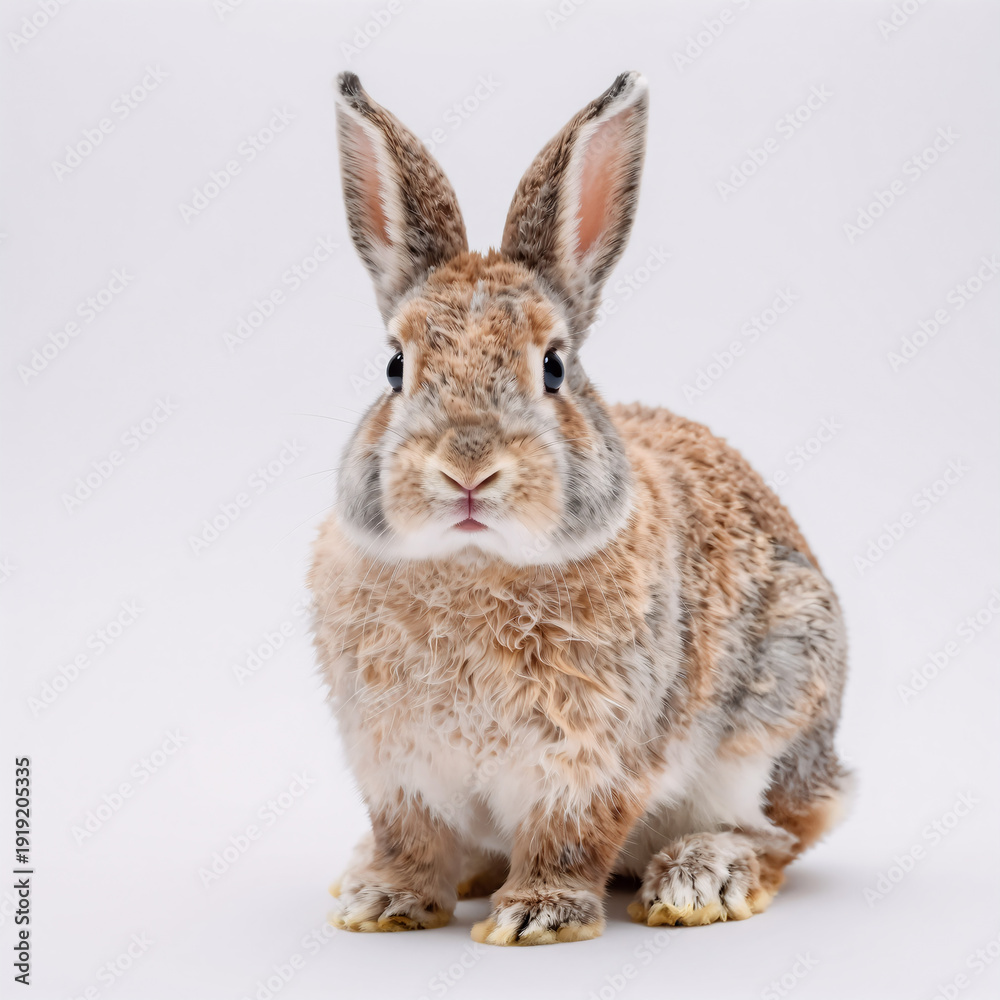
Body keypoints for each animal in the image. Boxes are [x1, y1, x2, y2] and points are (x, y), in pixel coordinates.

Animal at [310, 69, 851, 946]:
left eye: (554, 367)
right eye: (395, 367)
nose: (468, 468)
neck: (473, 563)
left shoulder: (594, 761)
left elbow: (569, 838)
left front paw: (538, 916)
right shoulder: (396, 768)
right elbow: (410, 839)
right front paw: (385, 902)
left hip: (776, 721)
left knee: (777, 835)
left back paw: (698, 880)